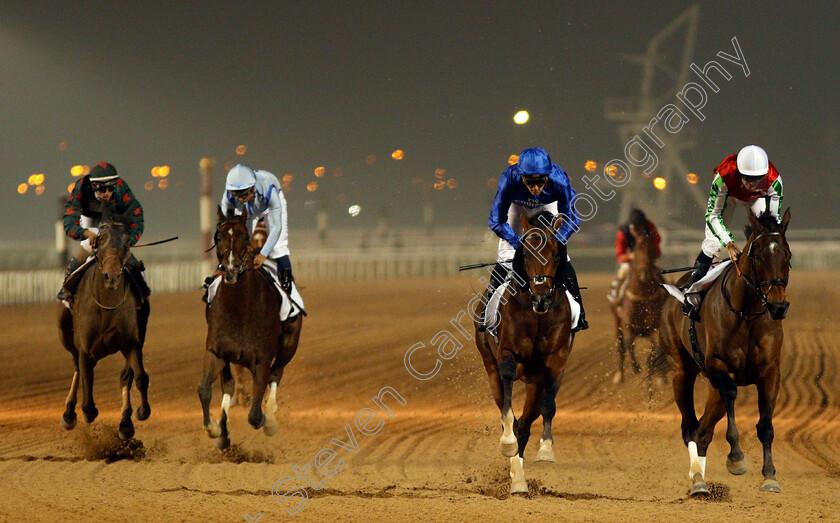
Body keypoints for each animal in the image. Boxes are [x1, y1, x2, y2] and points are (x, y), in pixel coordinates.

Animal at [57, 211, 151, 440]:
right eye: (100, 241)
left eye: (126, 243)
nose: (112, 276)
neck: (106, 306)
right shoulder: (84, 346)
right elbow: (86, 379)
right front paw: (84, 411)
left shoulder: (131, 343)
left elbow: (140, 377)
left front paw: (140, 412)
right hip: (66, 334)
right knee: (77, 367)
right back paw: (69, 413)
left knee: (126, 376)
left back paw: (125, 423)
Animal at [199, 209, 304, 450]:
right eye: (219, 237)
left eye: (244, 238)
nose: (230, 269)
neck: (240, 309)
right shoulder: (216, 352)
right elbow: (205, 390)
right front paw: (215, 428)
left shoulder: (262, 360)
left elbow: (255, 415)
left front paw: (266, 420)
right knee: (228, 385)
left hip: (289, 344)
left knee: (276, 373)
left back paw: (271, 420)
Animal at [472, 212, 576, 496]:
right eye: (527, 254)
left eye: (556, 255)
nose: (541, 297)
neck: (536, 313)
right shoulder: (507, 354)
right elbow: (508, 403)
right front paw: (508, 444)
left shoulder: (556, 360)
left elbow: (548, 405)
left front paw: (546, 450)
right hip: (489, 365)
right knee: (508, 410)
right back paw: (515, 471)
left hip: (535, 382)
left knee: (527, 422)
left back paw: (519, 478)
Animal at [612, 221, 668, 384]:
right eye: (636, 250)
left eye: (652, 251)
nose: (645, 273)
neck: (642, 296)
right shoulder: (627, 326)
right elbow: (628, 344)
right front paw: (636, 368)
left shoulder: (655, 328)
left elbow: (655, 350)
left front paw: (658, 375)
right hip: (616, 320)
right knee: (621, 347)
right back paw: (620, 374)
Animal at [660, 208, 792, 496]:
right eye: (757, 255)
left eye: (787, 255)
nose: (778, 306)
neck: (747, 313)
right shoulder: (718, 365)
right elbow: (731, 394)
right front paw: (737, 458)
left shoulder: (770, 371)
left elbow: (766, 425)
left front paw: (770, 477)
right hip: (682, 372)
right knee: (690, 426)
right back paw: (698, 481)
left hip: (712, 387)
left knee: (704, 429)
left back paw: (700, 475)